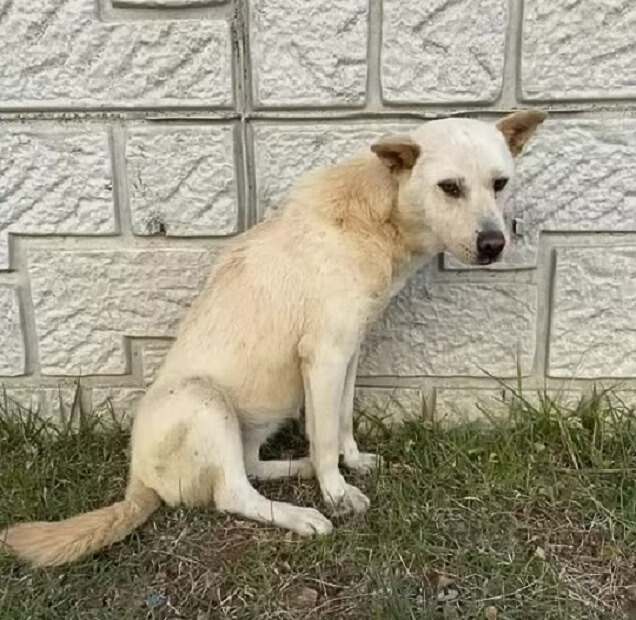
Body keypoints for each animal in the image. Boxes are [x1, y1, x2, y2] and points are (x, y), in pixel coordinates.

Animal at [0, 108, 548, 568]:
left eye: (499, 184)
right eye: (449, 187)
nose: (494, 244)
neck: (378, 217)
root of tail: (138, 481)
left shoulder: (348, 354)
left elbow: (341, 422)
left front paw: (349, 463)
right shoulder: (324, 357)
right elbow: (324, 436)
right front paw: (336, 493)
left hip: (252, 422)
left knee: (250, 469)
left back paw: (297, 469)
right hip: (203, 400)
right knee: (232, 494)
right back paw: (300, 514)